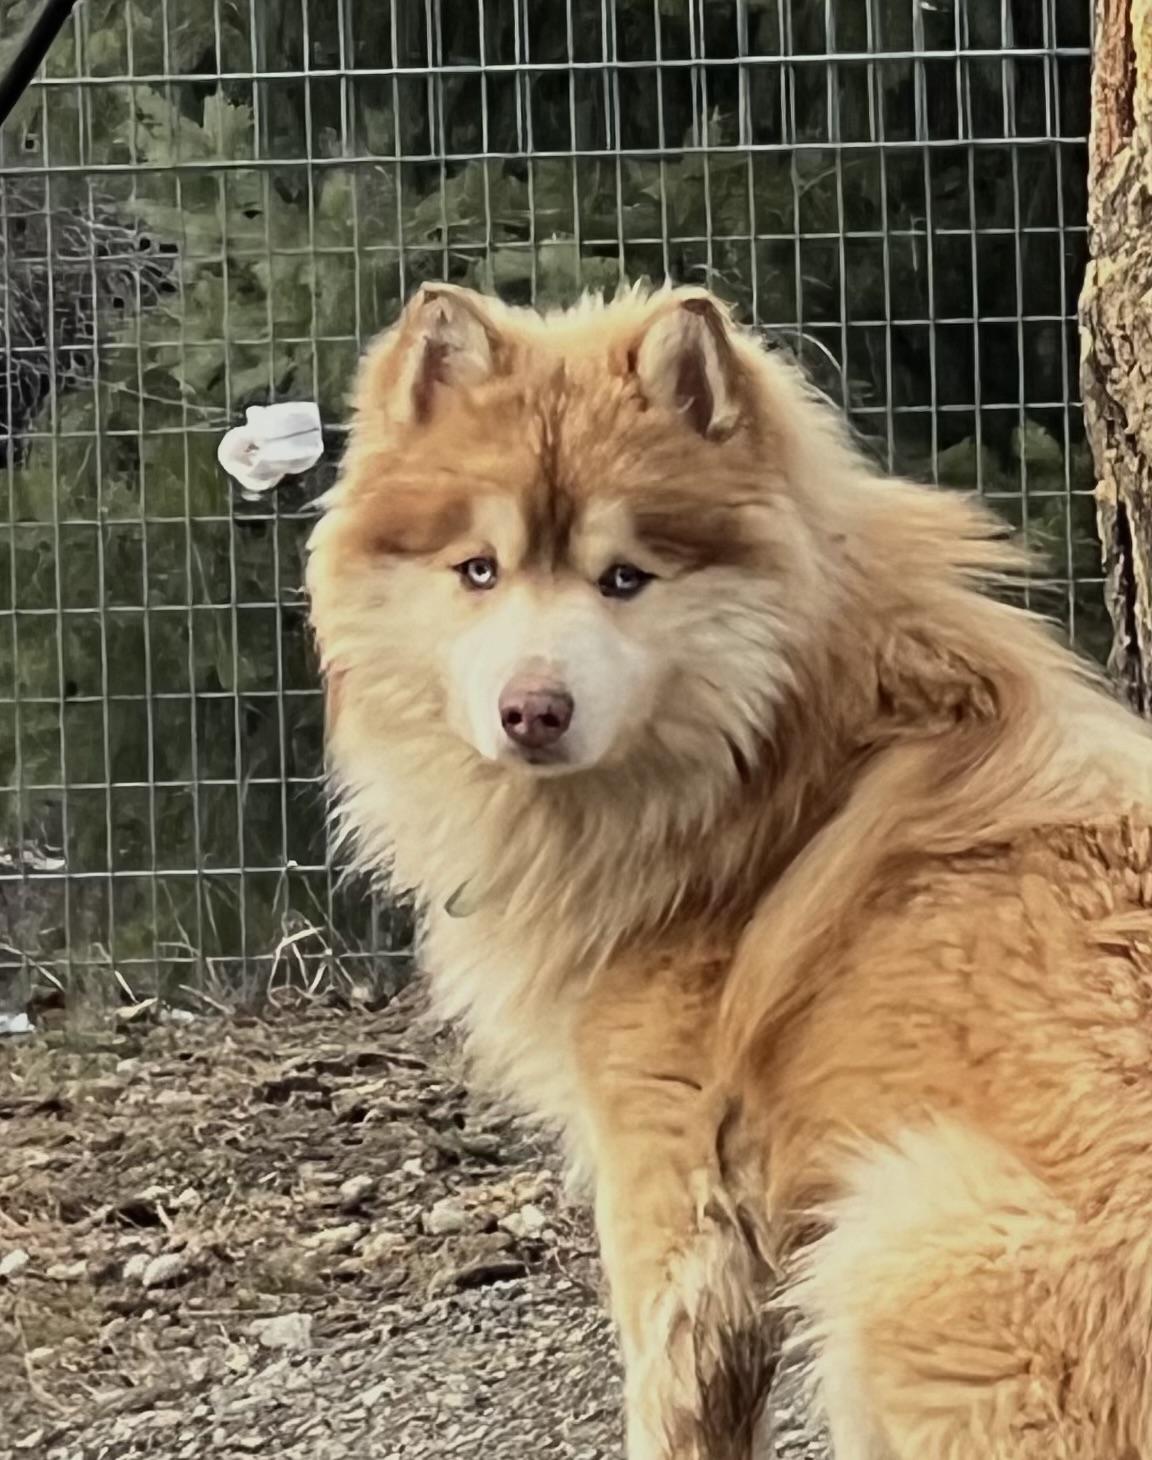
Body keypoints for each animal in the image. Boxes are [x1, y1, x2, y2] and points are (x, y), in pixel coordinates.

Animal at [307, 281, 1152, 1459]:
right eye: (478, 569)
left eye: (625, 578)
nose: (533, 711)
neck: (775, 759)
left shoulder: (669, 1179)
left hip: (892, 1243)